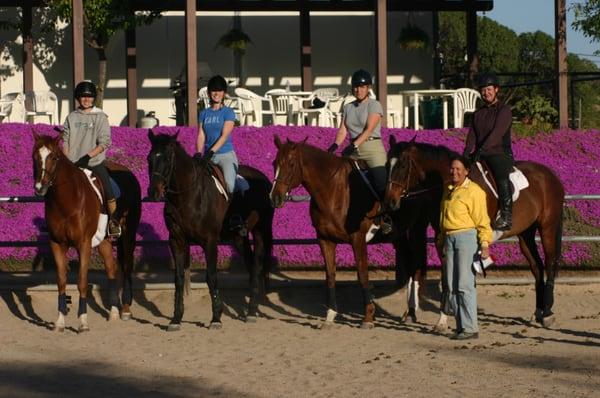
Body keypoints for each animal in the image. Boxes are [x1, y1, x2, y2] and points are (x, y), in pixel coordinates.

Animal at [31, 134, 142, 332]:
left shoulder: (83, 243)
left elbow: (82, 282)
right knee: (111, 269)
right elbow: (61, 282)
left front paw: (83, 322)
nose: (39, 188)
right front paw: (60, 322)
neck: (67, 201)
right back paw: (114, 312)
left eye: (54, 157)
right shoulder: (57, 244)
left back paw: (126, 310)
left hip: (129, 233)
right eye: (34, 157)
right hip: (104, 241)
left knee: (127, 266)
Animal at [148, 131, 274, 330]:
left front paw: (216, 317)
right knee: (251, 265)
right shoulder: (176, 241)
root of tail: (264, 179)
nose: (153, 192)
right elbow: (179, 279)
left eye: (167, 159)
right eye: (149, 158)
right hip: (239, 238)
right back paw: (251, 310)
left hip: (261, 231)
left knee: (257, 264)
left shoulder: (210, 241)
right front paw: (176, 319)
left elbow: (212, 276)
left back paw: (252, 312)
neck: (188, 196)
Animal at [384, 137, 564, 330]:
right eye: (387, 165)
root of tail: (551, 175)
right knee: (537, 267)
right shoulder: (443, 241)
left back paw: (547, 313)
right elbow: (447, 277)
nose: (390, 202)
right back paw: (537, 313)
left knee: (549, 263)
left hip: (547, 228)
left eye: (403, 166)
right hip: (526, 234)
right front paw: (445, 318)